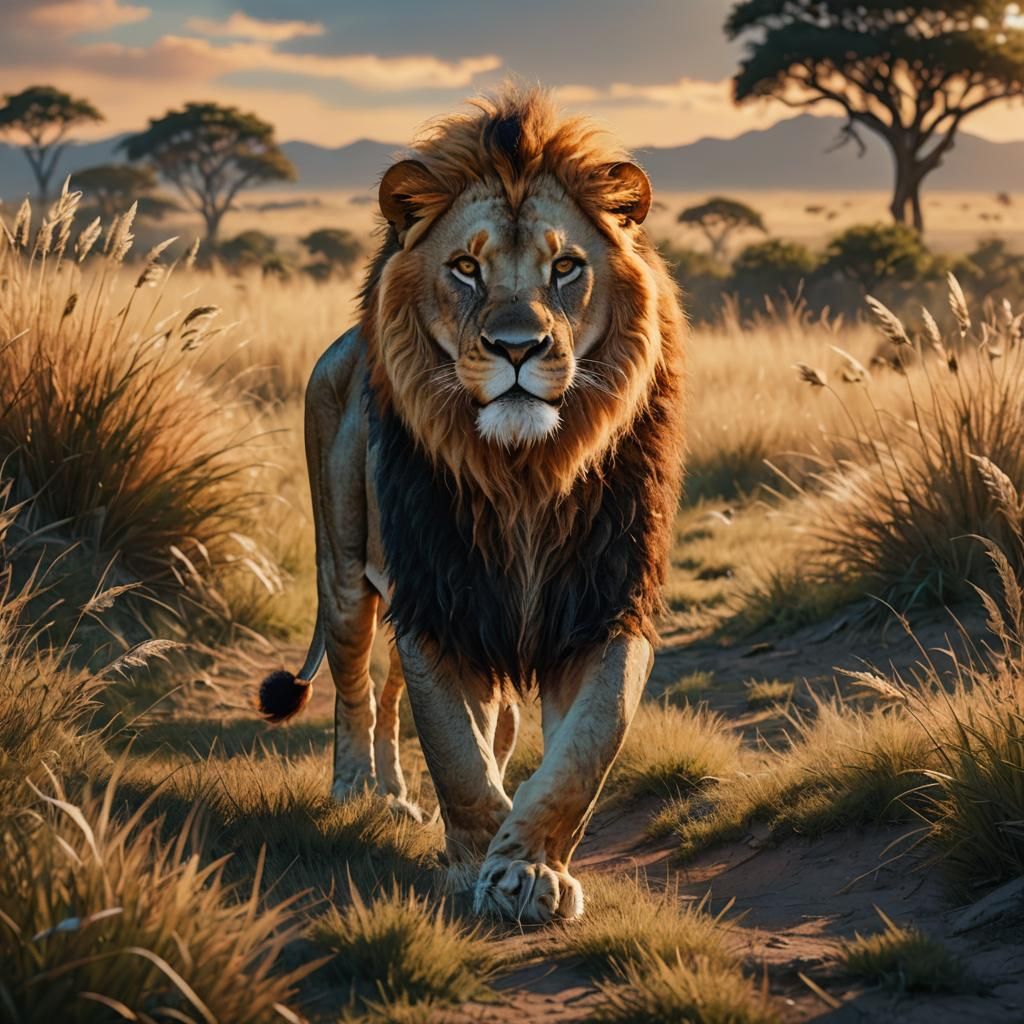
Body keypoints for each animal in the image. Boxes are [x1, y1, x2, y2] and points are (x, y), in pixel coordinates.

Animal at [258, 85, 686, 923]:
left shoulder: (606, 603)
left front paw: (527, 868)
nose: (518, 347)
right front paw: (476, 862)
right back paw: (361, 792)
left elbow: (584, 748)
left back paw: (398, 792)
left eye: (565, 267)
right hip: (345, 576)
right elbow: (459, 750)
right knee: (358, 690)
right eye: (465, 268)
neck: (523, 475)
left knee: (400, 697)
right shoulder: (440, 602)